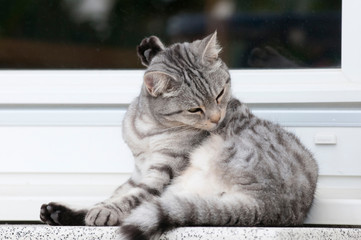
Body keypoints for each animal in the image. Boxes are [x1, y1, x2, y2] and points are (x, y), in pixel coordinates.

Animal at [39, 32, 316, 240]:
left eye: (220, 94)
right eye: (194, 109)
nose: (217, 118)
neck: (147, 128)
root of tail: (269, 207)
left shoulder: (161, 173)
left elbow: (129, 198)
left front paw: (103, 211)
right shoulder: (139, 171)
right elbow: (119, 193)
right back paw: (57, 213)